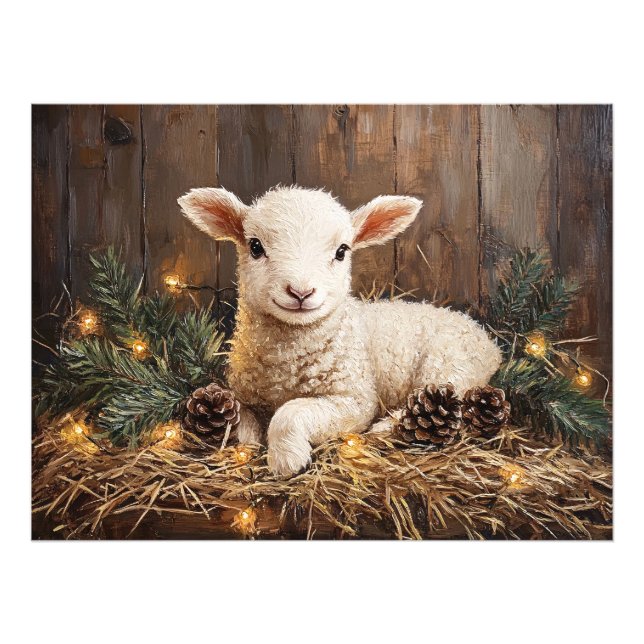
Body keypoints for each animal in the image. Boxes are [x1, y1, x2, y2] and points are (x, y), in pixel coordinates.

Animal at [178, 186, 502, 478]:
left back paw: (386, 428)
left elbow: (291, 412)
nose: (301, 292)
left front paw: (287, 460)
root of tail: (489, 342)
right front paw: (246, 444)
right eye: (255, 246)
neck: (286, 362)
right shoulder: (244, 397)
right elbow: (242, 424)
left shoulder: (354, 400)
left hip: (449, 366)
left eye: (342, 251)